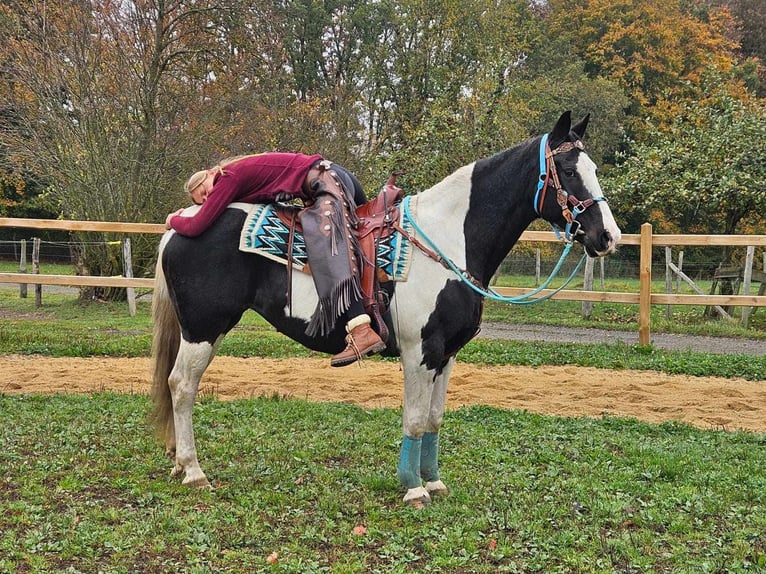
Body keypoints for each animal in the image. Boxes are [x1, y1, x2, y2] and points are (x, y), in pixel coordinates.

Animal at [152, 111, 624, 508]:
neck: (448, 239)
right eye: (568, 171)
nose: (608, 236)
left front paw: (433, 480)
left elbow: (434, 419)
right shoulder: (420, 351)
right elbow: (414, 419)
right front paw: (413, 488)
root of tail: (181, 222)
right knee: (182, 386)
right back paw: (193, 470)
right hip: (203, 329)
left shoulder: (447, 354)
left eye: (594, 170)